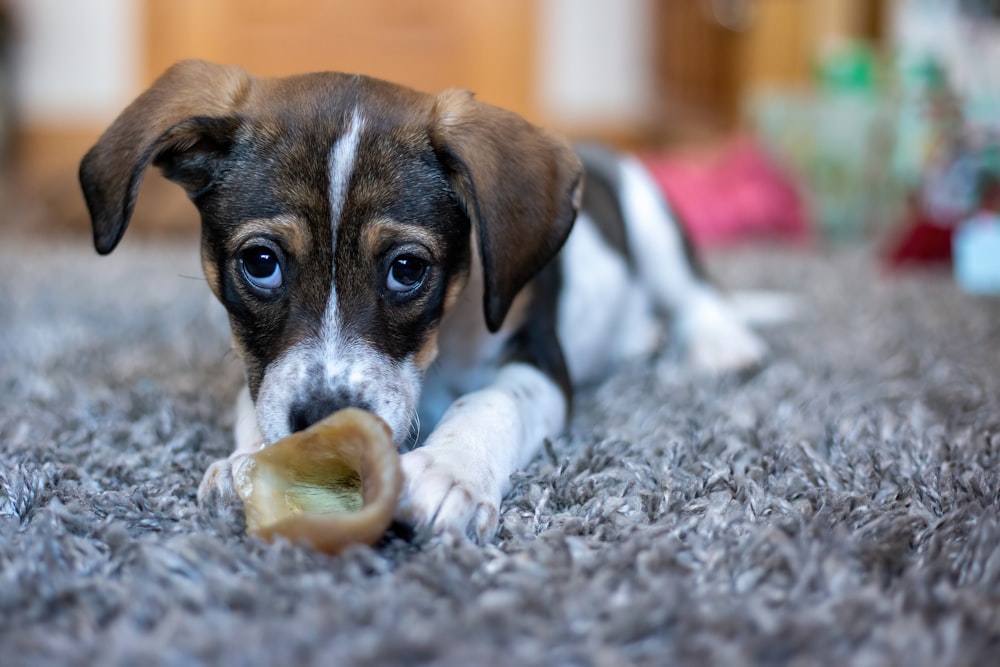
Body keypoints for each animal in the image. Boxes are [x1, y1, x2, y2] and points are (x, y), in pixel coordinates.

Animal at [80, 61, 764, 544]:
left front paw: (449, 472)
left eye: (407, 269)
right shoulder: (258, 365)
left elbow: (493, 401)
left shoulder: (539, 359)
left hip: (651, 217)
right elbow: (258, 402)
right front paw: (246, 463)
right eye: (260, 263)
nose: (327, 423)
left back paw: (720, 344)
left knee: (694, 290)